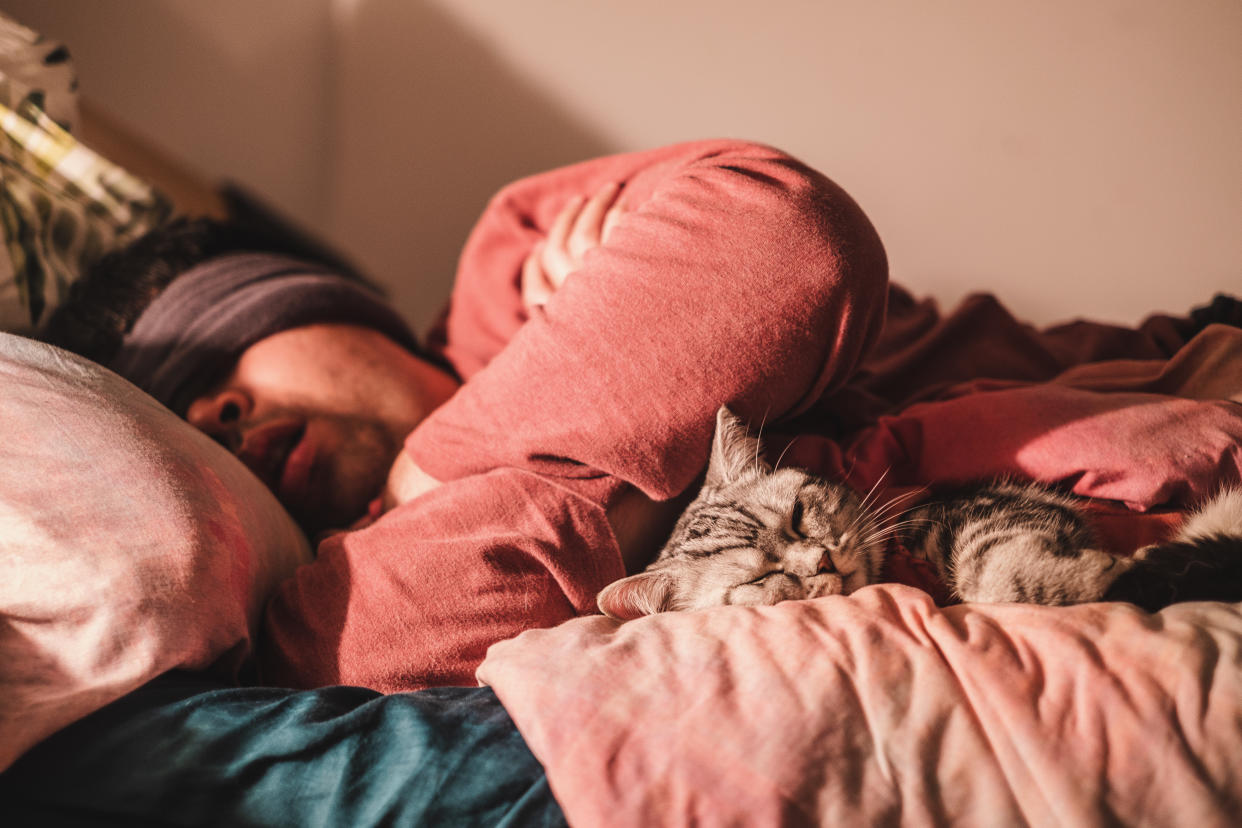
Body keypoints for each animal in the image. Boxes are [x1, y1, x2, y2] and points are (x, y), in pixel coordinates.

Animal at [593, 407, 1242, 620]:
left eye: (800, 515)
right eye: (761, 579)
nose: (820, 559)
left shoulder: (988, 510)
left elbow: (995, 571)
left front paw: (1111, 571)